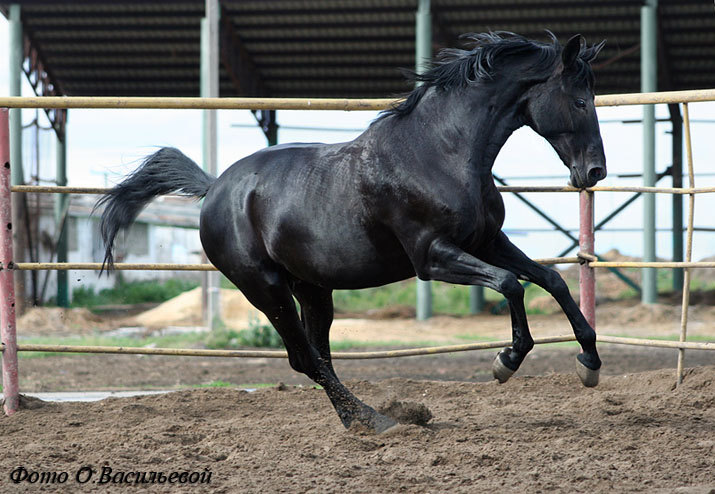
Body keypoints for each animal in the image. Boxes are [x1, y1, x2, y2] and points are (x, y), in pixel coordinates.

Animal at [98, 31, 608, 432]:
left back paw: (358, 420)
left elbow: (551, 279)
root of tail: (215, 187)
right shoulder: (432, 256)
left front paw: (589, 363)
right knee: (306, 359)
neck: (439, 152)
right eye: (580, 100)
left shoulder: (486, 242)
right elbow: (510, 285)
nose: (594, 172)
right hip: (264, 288)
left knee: (316, 356)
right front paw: (505, 361)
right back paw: (375, 421)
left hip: (313, 290)